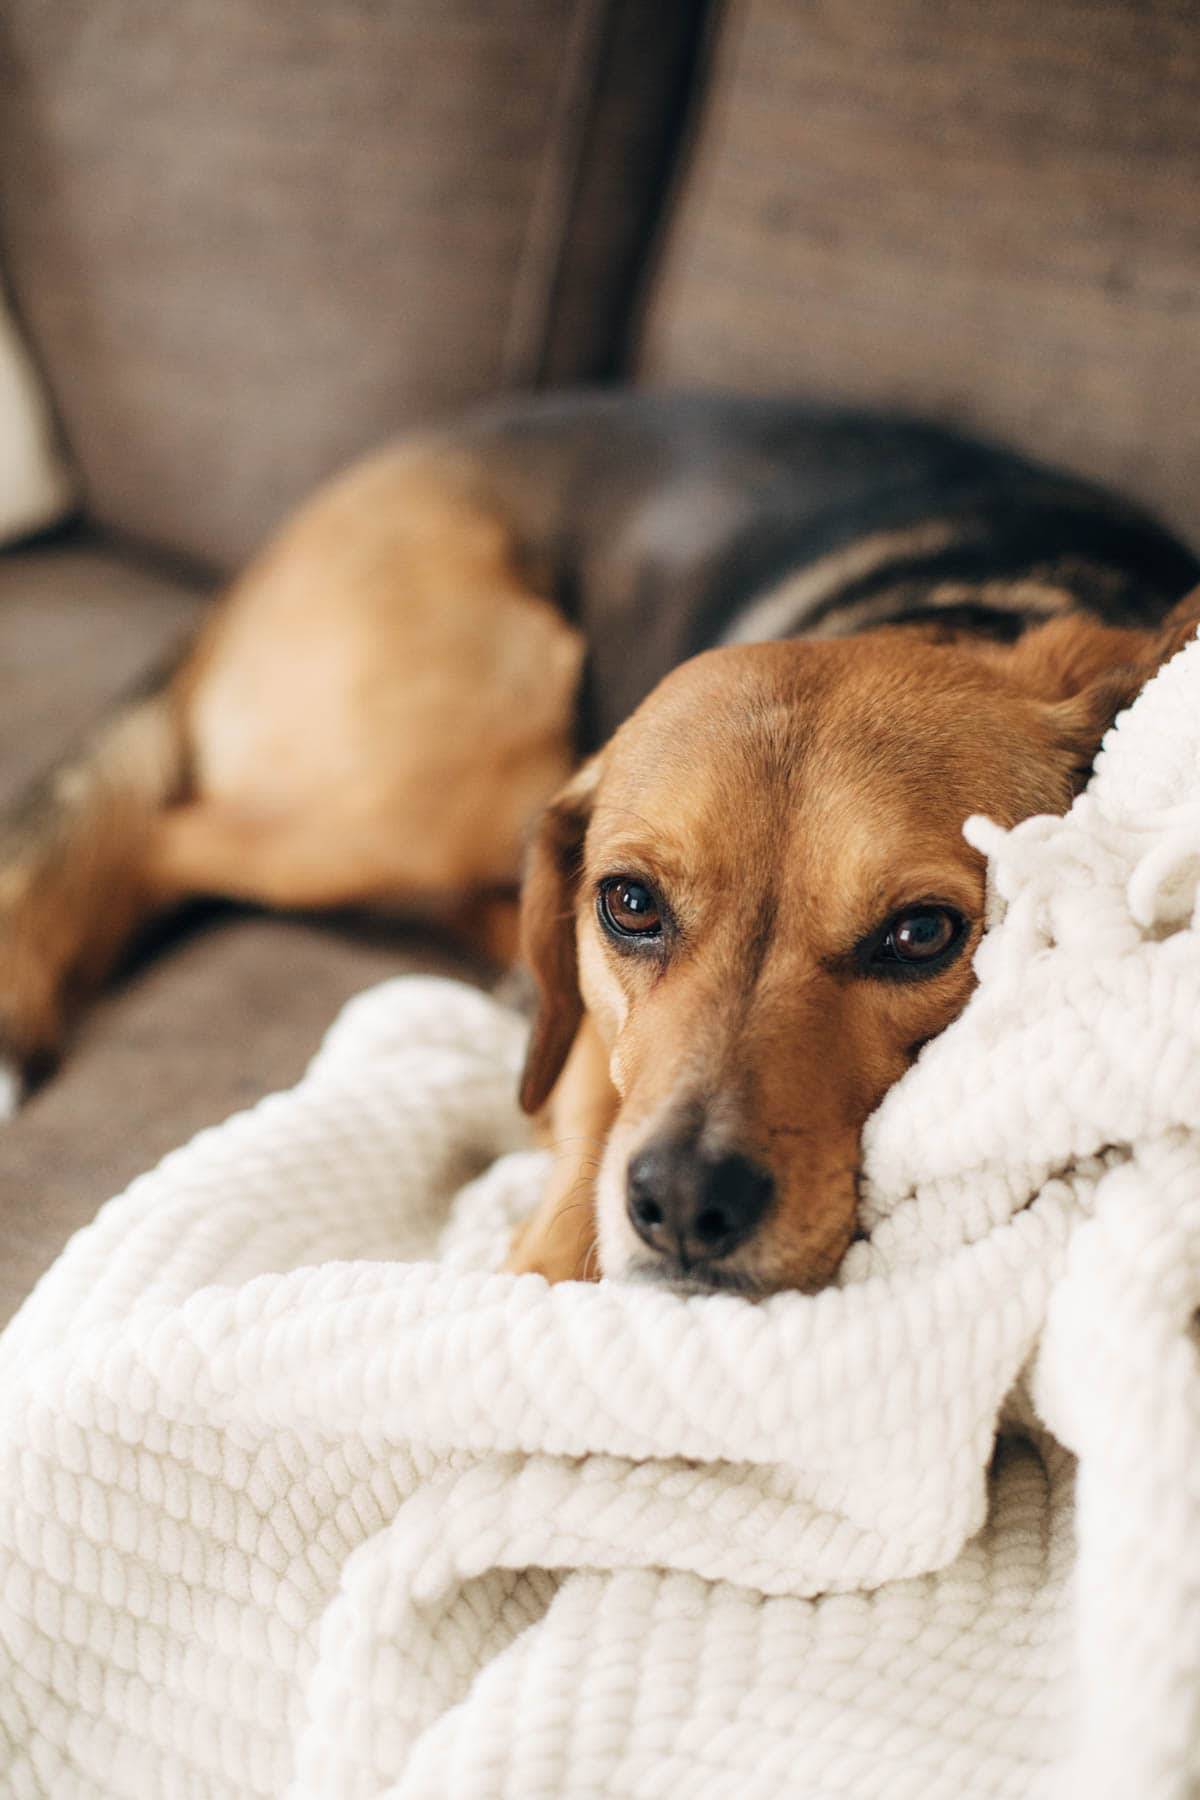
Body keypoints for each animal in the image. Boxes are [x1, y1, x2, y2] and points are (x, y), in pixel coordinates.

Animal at [2, 394, 1200, 1296]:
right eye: (631, 905)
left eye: (920, 935)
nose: (684, 1202)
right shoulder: (595, 1034)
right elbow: (587, 1114)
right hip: (464, 748)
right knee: (154, 837)